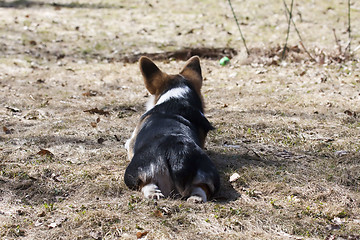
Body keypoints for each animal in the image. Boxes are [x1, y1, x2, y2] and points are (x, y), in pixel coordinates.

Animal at [124, 55, 219, 202]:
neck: (177, 98)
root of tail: (177, 152)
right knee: (202, 190)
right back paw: (195, 199)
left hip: (132, 174)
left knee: (145, 183)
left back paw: (152, 193)